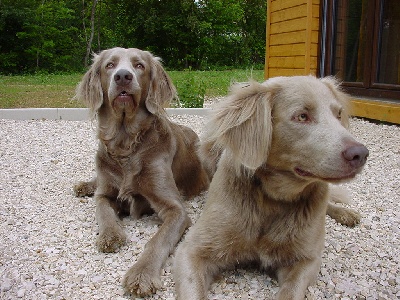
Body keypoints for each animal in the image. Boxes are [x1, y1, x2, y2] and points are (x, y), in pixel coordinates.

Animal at [173, 76, 368, 298]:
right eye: (302, 116)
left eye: (338, 114)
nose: (360, 154)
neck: (273, 199)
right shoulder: (192, 249)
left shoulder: (307, 258)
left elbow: (291, 290)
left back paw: (346, 214)